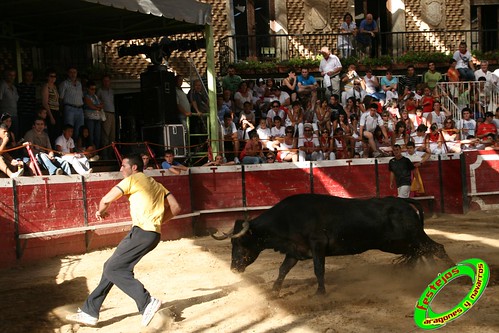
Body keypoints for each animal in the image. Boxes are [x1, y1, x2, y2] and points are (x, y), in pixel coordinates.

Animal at [211, 195, 454, 294]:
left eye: (240, 243)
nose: (234, 268)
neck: (287, 219)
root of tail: (403, 202)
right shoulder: (295, 250)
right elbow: (282, 270)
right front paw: (274, 290)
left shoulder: (317, 245)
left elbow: (319, 269)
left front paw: (320, 292)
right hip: (398, 243)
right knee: (420, 253)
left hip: (412, 238)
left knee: (438, 248)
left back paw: (452, 273)